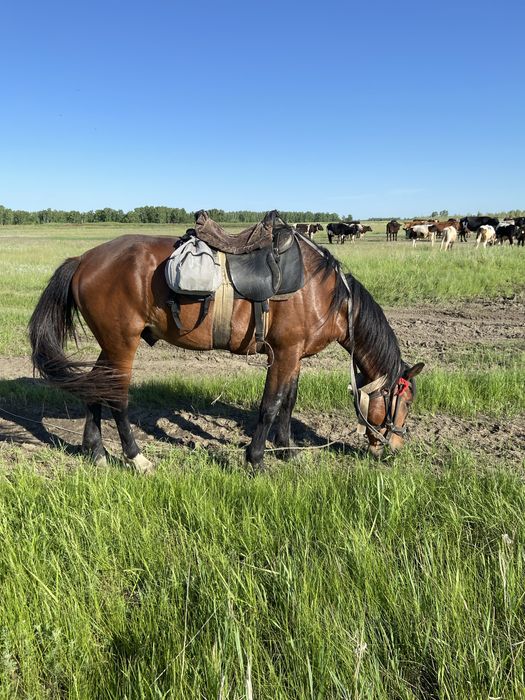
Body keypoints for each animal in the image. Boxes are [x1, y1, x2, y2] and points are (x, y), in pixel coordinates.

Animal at [29, 223, 424, 472]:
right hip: (122, 343)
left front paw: (289, 452)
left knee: (97, 387)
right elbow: (270, 406)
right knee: (117, 397)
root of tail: (83, 260)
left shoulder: (295, 355)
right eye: (404, 402)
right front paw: (257, 459)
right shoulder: (283, 353)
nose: (395, 447)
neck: (325, 293)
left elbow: (287, 403)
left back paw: (95, 451)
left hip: (110, 344)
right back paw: (136, 457)